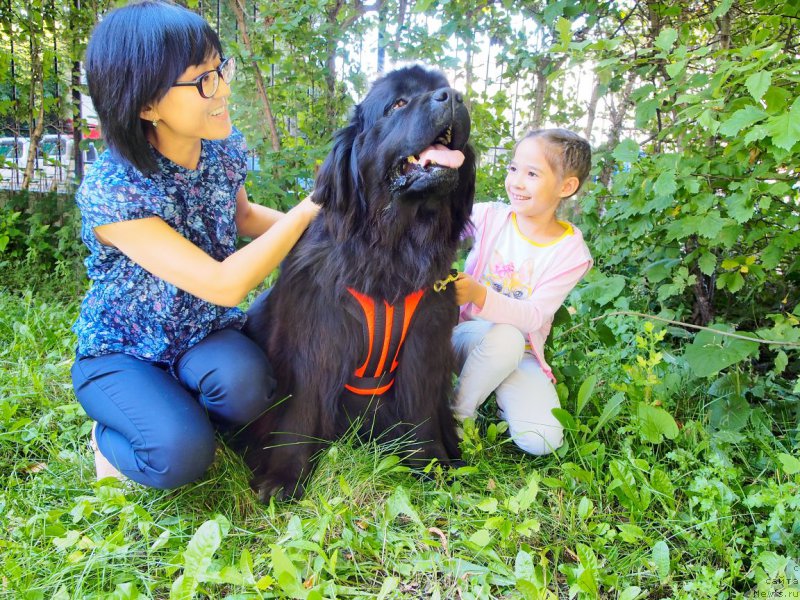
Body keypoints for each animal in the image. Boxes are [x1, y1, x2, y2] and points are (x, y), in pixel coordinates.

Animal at [238, 64, 476, 502]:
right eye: (398, 103)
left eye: (444, 88)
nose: (453, 97)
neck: (391, 251)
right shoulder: (314, 344)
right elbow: (298, 415)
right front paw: (283, 479)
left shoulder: (424, 342)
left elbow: (421, 413)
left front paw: (431, 466)